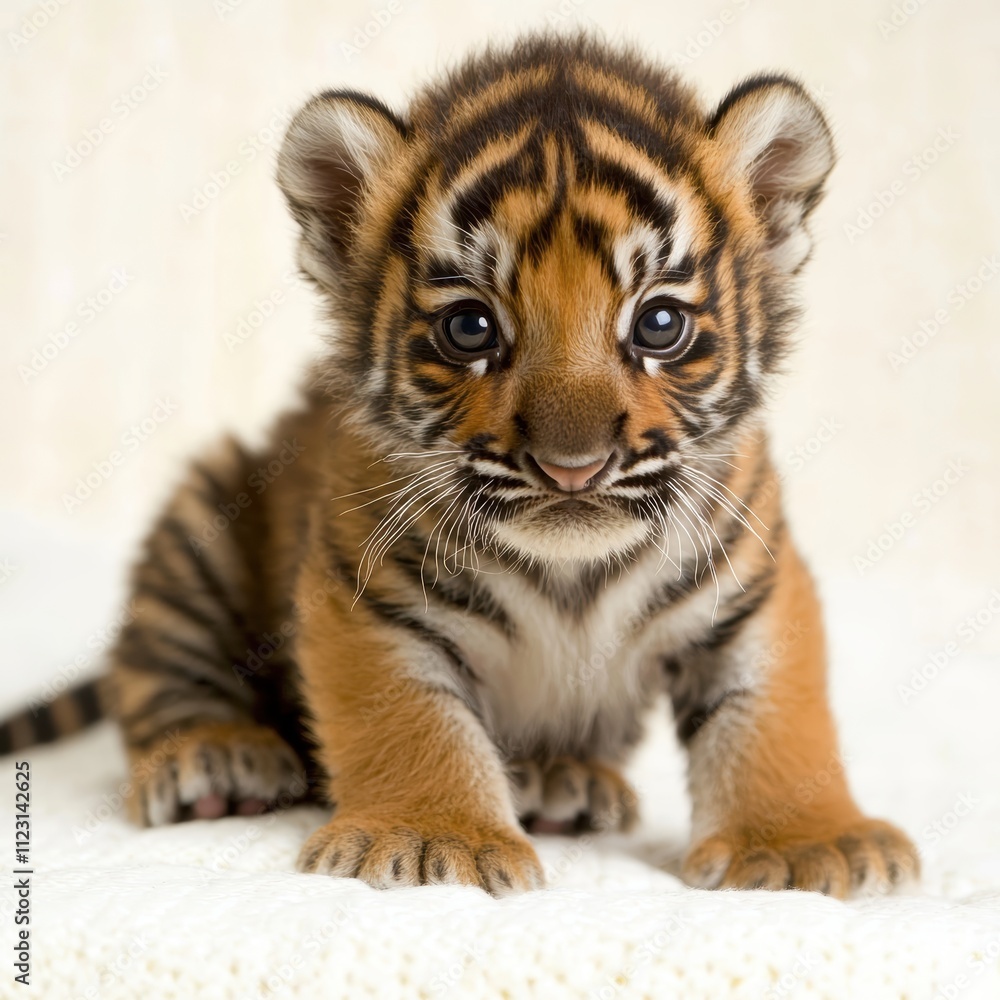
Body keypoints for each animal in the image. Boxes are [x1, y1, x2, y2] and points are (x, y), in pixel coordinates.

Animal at [2, 33, 918, 898]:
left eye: (659, 324)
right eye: (470, 328)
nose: (574, 466)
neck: (572, 577)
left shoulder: (756, 582)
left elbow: (773, 714)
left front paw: (806, 843)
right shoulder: (368, 590)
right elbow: (413, 717)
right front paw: (430, 839)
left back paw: (557, 781)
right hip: (203, 525)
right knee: (162, 676)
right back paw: (216, 758)